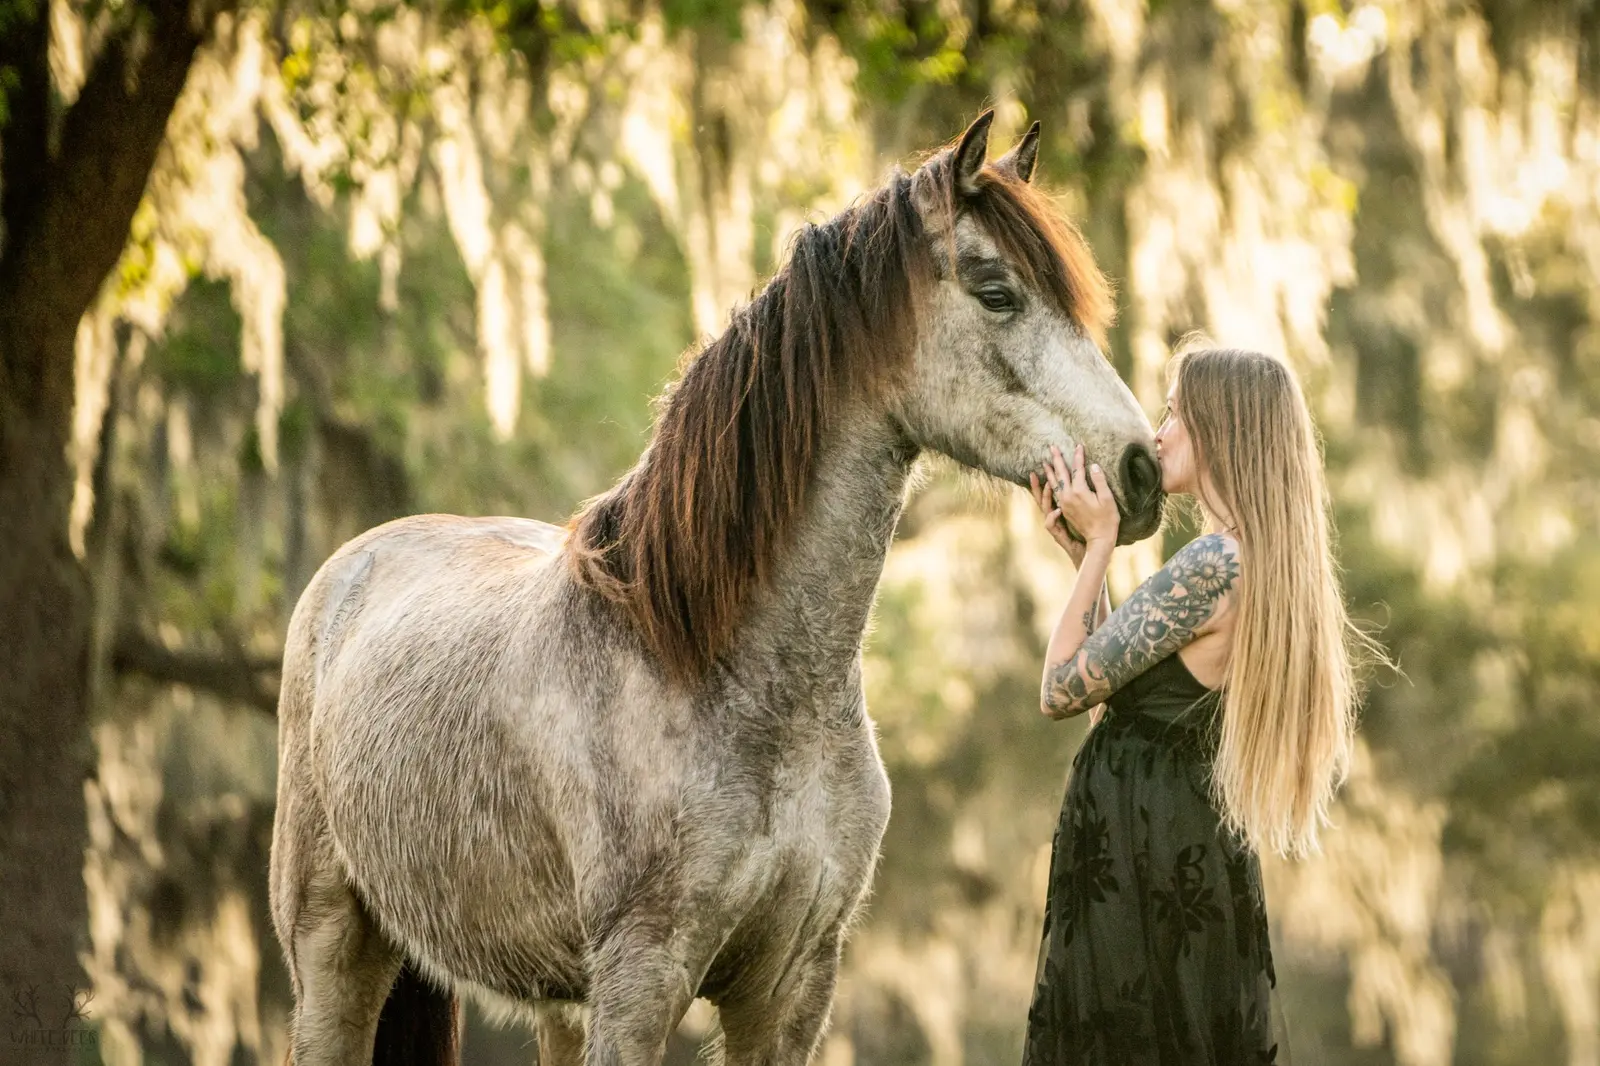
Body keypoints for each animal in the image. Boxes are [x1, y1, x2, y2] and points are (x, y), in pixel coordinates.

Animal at [269, 110, 1164, 1066]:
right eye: (997, 294)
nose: (1142, 472)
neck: (713, 665)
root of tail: (356, 561)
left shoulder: (789, 987)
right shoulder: (641, 979)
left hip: (554, 997)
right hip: (335, 946)